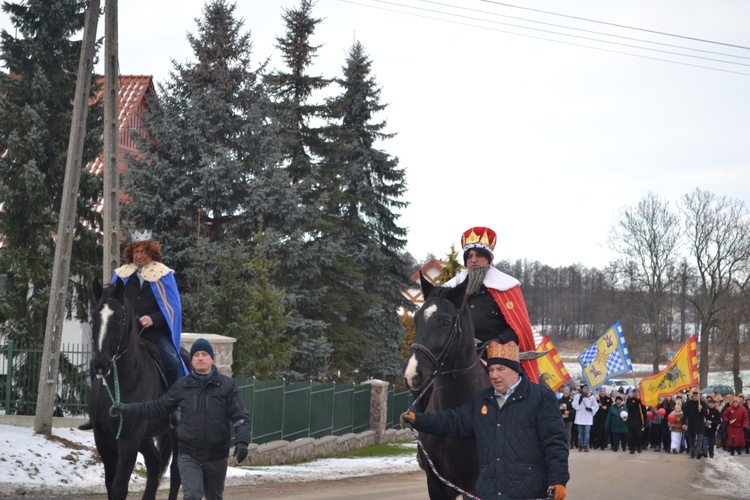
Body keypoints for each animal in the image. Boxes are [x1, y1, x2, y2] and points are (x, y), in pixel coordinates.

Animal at [88, 280, 181, 498]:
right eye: (94, 317)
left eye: (119, 318)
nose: (101, 364)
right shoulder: (103, 438)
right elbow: (109, 484)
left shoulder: (129, 439)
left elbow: (119, 486)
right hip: (145, 438)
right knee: (155, 462)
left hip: (177, 434)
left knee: (176, 473)